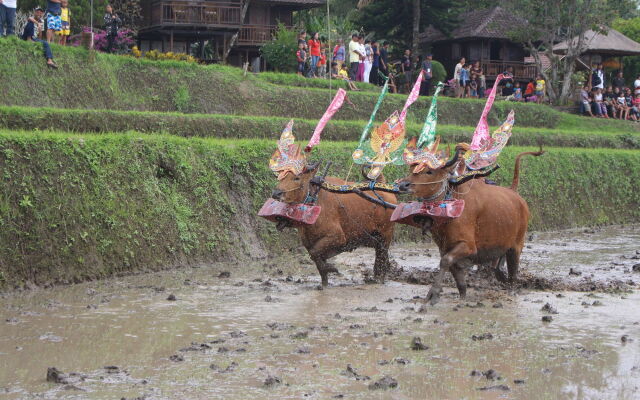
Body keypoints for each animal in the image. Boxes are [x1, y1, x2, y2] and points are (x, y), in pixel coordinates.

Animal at [398, 149, 544, 304]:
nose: (403, 185)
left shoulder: (468, 246)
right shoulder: (445, 247)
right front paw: (462, 296)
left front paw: (433, 293)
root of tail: (515, 194)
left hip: (516, 246)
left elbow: (445, 261)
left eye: (429, 171)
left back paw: (511, 291)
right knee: (498, 270)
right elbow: (455, 272)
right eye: (411, 169)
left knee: (513, 274)